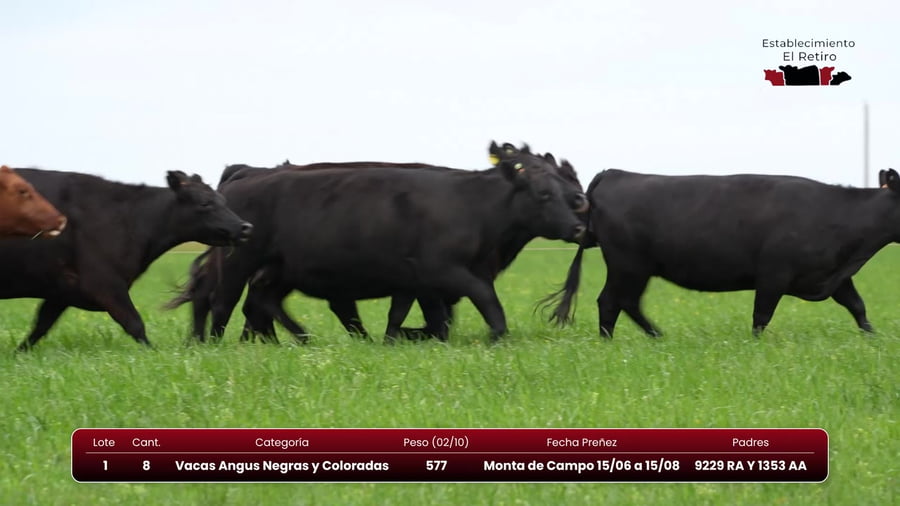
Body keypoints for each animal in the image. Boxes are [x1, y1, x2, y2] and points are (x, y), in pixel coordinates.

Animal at [0, 169, 253, 350]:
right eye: (204, 203)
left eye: (222, 200)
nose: (245, 227)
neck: (128, 219)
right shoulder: (105, 284)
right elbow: (135, 324)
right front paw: (154, 353)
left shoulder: (62, 291)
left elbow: (41, 326)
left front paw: (19, 353)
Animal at [168, 142, 586, 343]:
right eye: (544, 194)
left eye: (568, 184)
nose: (580, 223)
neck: (477, 208)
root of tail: (247, 174)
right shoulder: (444, 271)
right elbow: (485, 302)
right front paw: (498, 336)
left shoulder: (418, 282)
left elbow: (421, 319)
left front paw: (403, 337)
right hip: (239, 262)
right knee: (222, 302)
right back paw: (218, 345)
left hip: (277, 269)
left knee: (261, 302)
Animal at [545, 168, 900, 338]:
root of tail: (614, 173)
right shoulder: (773, 274)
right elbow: (761, 316)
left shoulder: (835, 276)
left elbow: (858, 307)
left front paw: (875, 339)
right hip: (628, 265)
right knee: (612, 302)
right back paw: (619, 341)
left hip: (633, 267)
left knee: (624, 303)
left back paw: (656, 337)